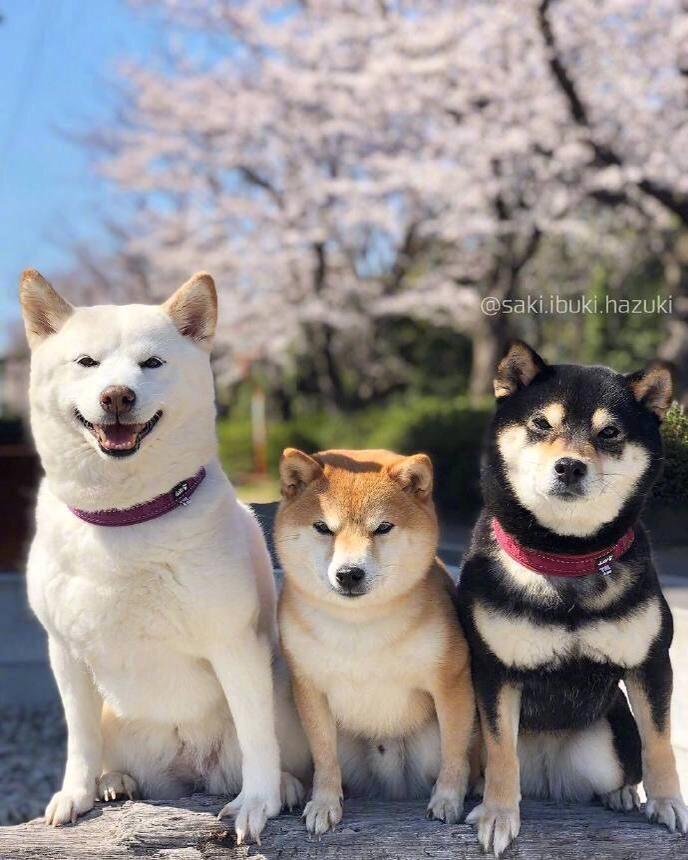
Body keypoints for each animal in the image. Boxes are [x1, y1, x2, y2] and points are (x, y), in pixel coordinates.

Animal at [20, 272, 310, 844]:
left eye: (151, 363)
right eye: (87, 362)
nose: (116, 395)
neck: (126, 517)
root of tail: (192, 768)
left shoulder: (234, 643)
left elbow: (257, 736)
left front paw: (258, 801)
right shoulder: (65, 651)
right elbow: (79, 738)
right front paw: (76, 792)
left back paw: (285, 786)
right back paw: (114, 781)